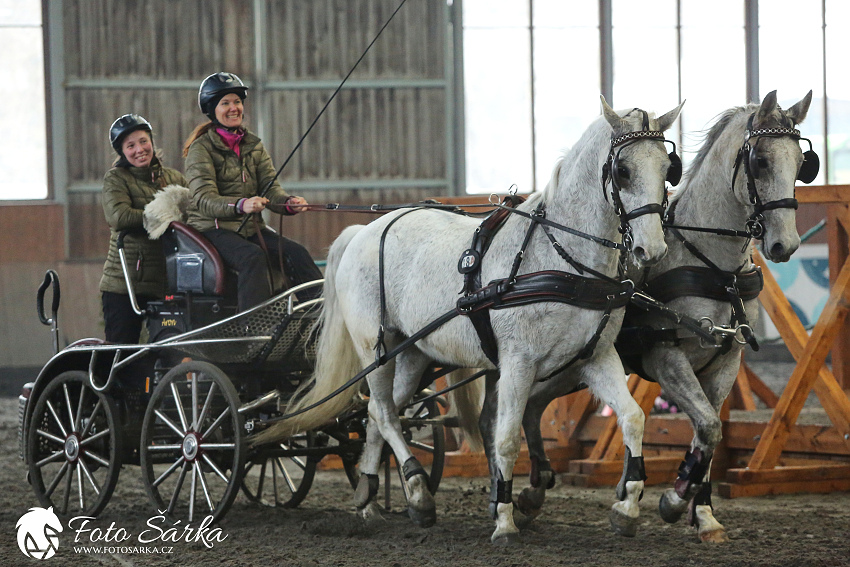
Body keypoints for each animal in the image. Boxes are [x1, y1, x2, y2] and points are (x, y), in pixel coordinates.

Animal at [255, 98, 680, 544]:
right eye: (623, 170)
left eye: (668, 168)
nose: (651, 250)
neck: (564, 261)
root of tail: (363, 231)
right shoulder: (518, 363)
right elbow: (506, 439)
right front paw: (505, 521)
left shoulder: (595, 357)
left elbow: (633, 418)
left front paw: (627, 507)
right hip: (375, 349)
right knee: (385, 412)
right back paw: (416, 488)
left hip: (412, 353)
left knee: (379, 414)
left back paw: (374, 499)